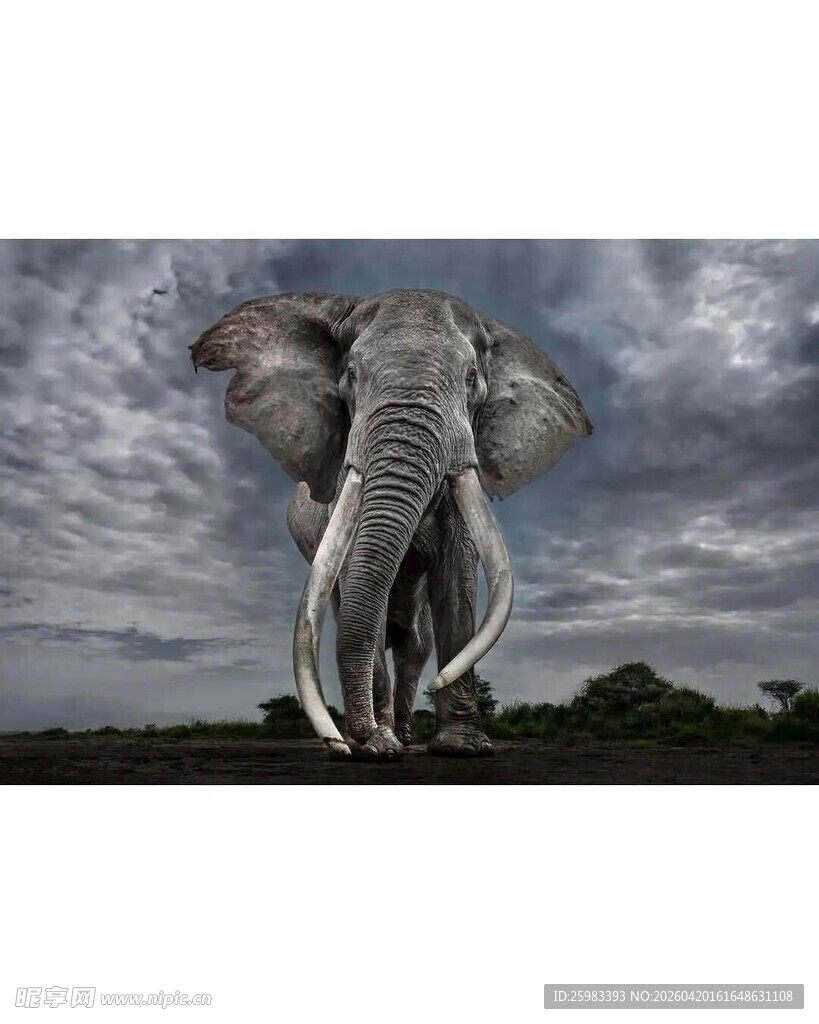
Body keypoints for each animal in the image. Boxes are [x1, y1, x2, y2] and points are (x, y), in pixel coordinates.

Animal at [190, 288, 592, 760]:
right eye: (350, 374)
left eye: (471, 377)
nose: (346, 743)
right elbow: (360, 590)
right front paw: (378, 749)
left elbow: (456, 583)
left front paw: (463, 748)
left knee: (414, 644)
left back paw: (404, 734)